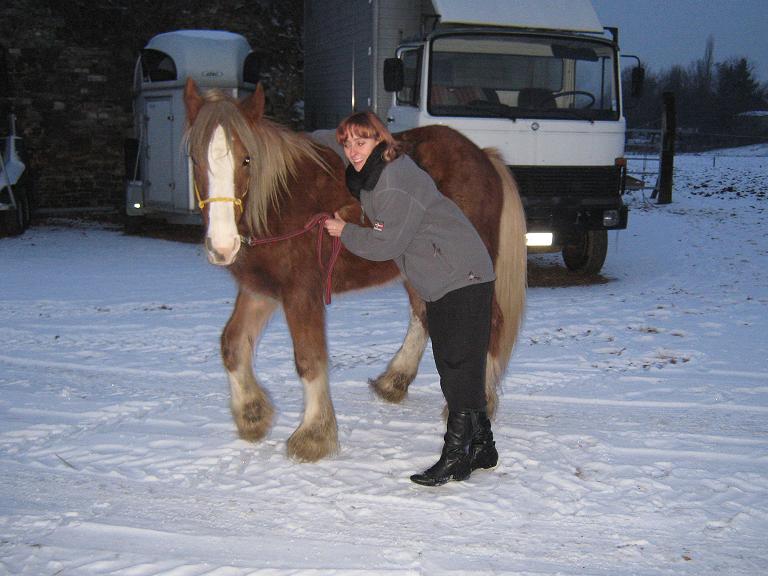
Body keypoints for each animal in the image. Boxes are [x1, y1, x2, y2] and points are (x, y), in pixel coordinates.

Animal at [184, 79, 528, 462]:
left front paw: (313, 436)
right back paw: (393, 381)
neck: (279, 203)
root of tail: (484, 156)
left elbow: (309, 359)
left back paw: (482, 399)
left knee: (491, 324)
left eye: (247, 159)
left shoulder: (300, 293)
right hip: (420, 271)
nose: (222, 246)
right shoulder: (260, 290)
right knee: (423, 316)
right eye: (194, 159)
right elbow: (232, 344)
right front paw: (252, 415)